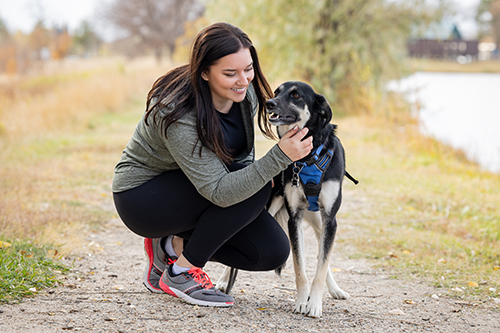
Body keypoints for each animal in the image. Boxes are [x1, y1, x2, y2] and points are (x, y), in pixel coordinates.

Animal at [217, 80, 358, 316]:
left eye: (296, 95)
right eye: (277, 92)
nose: (269, 103)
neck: (310, 155)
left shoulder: (330, 219)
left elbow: (321, 265)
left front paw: (314, 304)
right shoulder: (295, 219)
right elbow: (300, 267)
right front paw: (302, 301)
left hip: (319, 222)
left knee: (322, 255)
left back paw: (335, 290)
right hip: (271, 206)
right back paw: (223, 280)